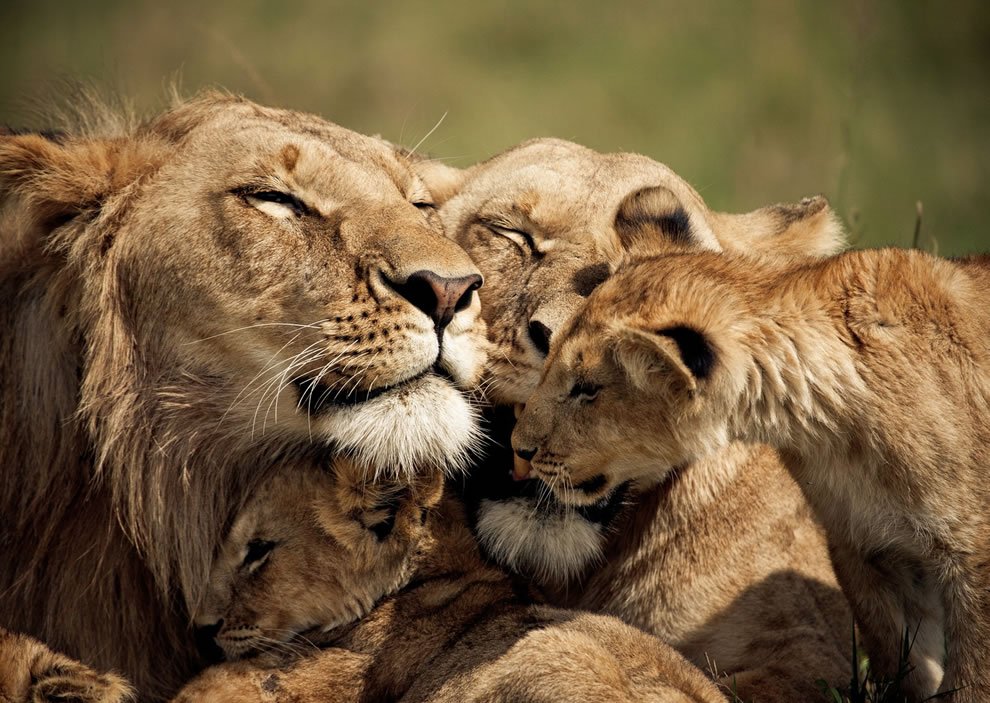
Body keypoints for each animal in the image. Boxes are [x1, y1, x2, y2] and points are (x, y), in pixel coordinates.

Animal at [513, 248, 990, 702]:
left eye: (587, 388)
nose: (519, 449)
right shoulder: (866, 545)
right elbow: (903, 661)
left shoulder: (971, 557)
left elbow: (973, 679)